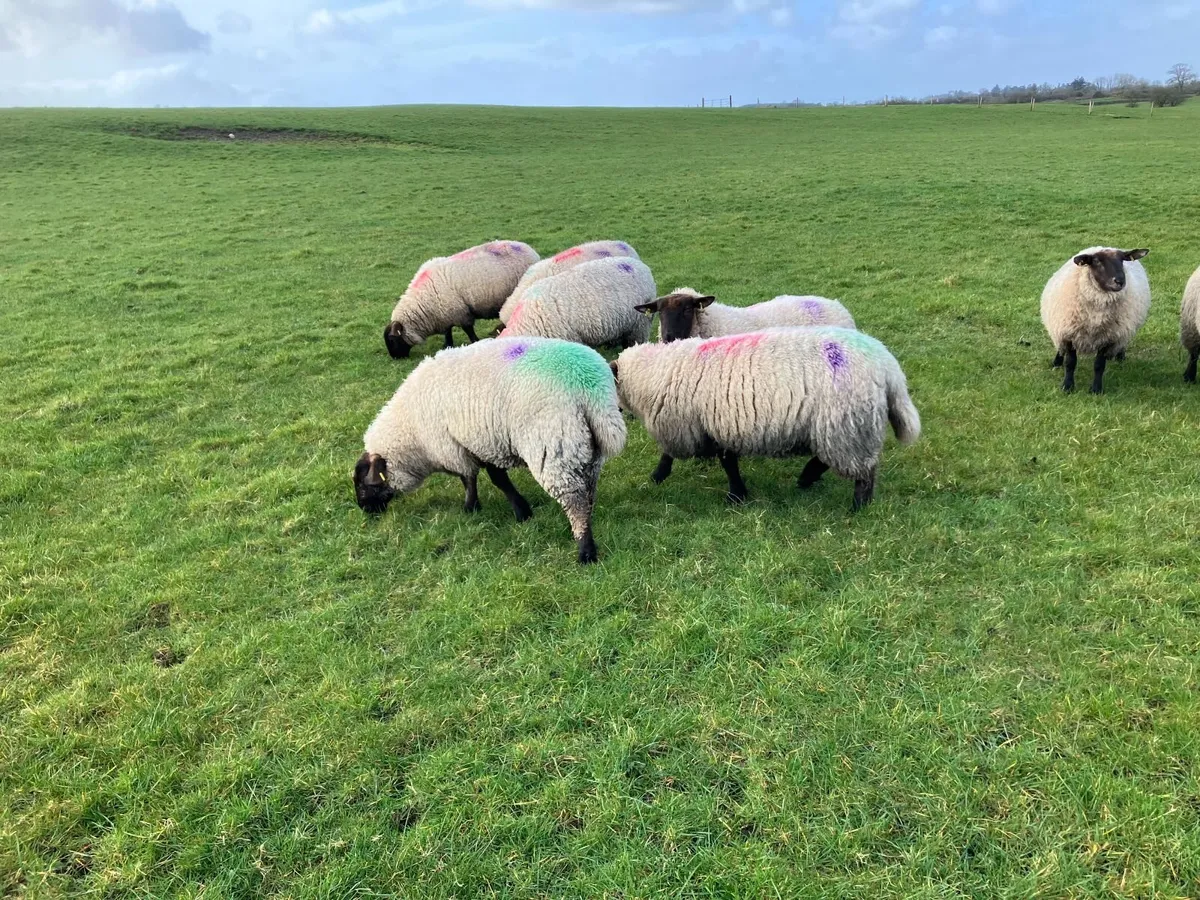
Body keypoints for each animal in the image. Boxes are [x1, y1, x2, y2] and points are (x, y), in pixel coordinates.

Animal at [354, 336, 626, 564]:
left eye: (364, 485)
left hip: (553, 446)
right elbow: (497, 479)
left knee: (574, 501)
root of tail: (592, 390)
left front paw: (471, 508)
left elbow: (472, 479)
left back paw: (585, 552)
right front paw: (522, 511)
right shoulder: (485, 442)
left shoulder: (457, 447)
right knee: (588, 491)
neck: (412, 437)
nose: (365, 510)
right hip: (585, 448)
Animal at [384, 240, 539, 359]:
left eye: (392, 340)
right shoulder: (445, 314)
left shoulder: (462, 313)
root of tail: (528, 248)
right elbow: (448, 332)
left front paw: (475, 341)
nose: (396, 358)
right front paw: (447, 345)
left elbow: (468, 330)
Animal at [611, 326, 920, 510]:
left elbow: (676, 455)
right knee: (834, 460)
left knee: (862, 471)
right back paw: (807, 479)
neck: (655, 373)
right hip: (842, 426)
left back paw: (857, 506)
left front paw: (658, 476)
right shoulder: (718, 424)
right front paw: (737, 493)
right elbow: (728, 461)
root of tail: (887, 364)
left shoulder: (689, 423)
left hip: (846, 424)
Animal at [1040, 247, 1150, 394]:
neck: (1095, 316)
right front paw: (1067, 386)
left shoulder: (1108, 337)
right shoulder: (1069, 333)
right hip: (1059, 328)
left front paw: (1096, 389)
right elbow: (1070, 363)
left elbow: (1099, 365)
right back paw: (1057, 362)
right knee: (1060, 347)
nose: (1120, 281)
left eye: (1122, 259)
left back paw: (1120, 357)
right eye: (1097, 261)